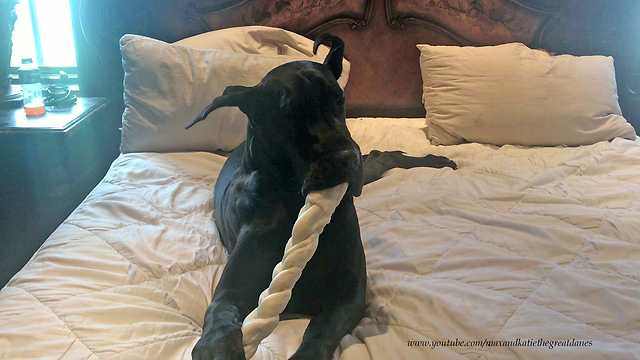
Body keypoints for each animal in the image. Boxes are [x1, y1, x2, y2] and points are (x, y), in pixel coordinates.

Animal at [185, 32, 456, 358]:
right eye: (290, 114)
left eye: (340, 100)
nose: (348, 160)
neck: (293, 203)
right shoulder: (233, 287)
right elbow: (220, 311)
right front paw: (217, 345)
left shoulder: (350, 294)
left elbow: (320, 330)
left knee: (384, 156)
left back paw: (439, 161)